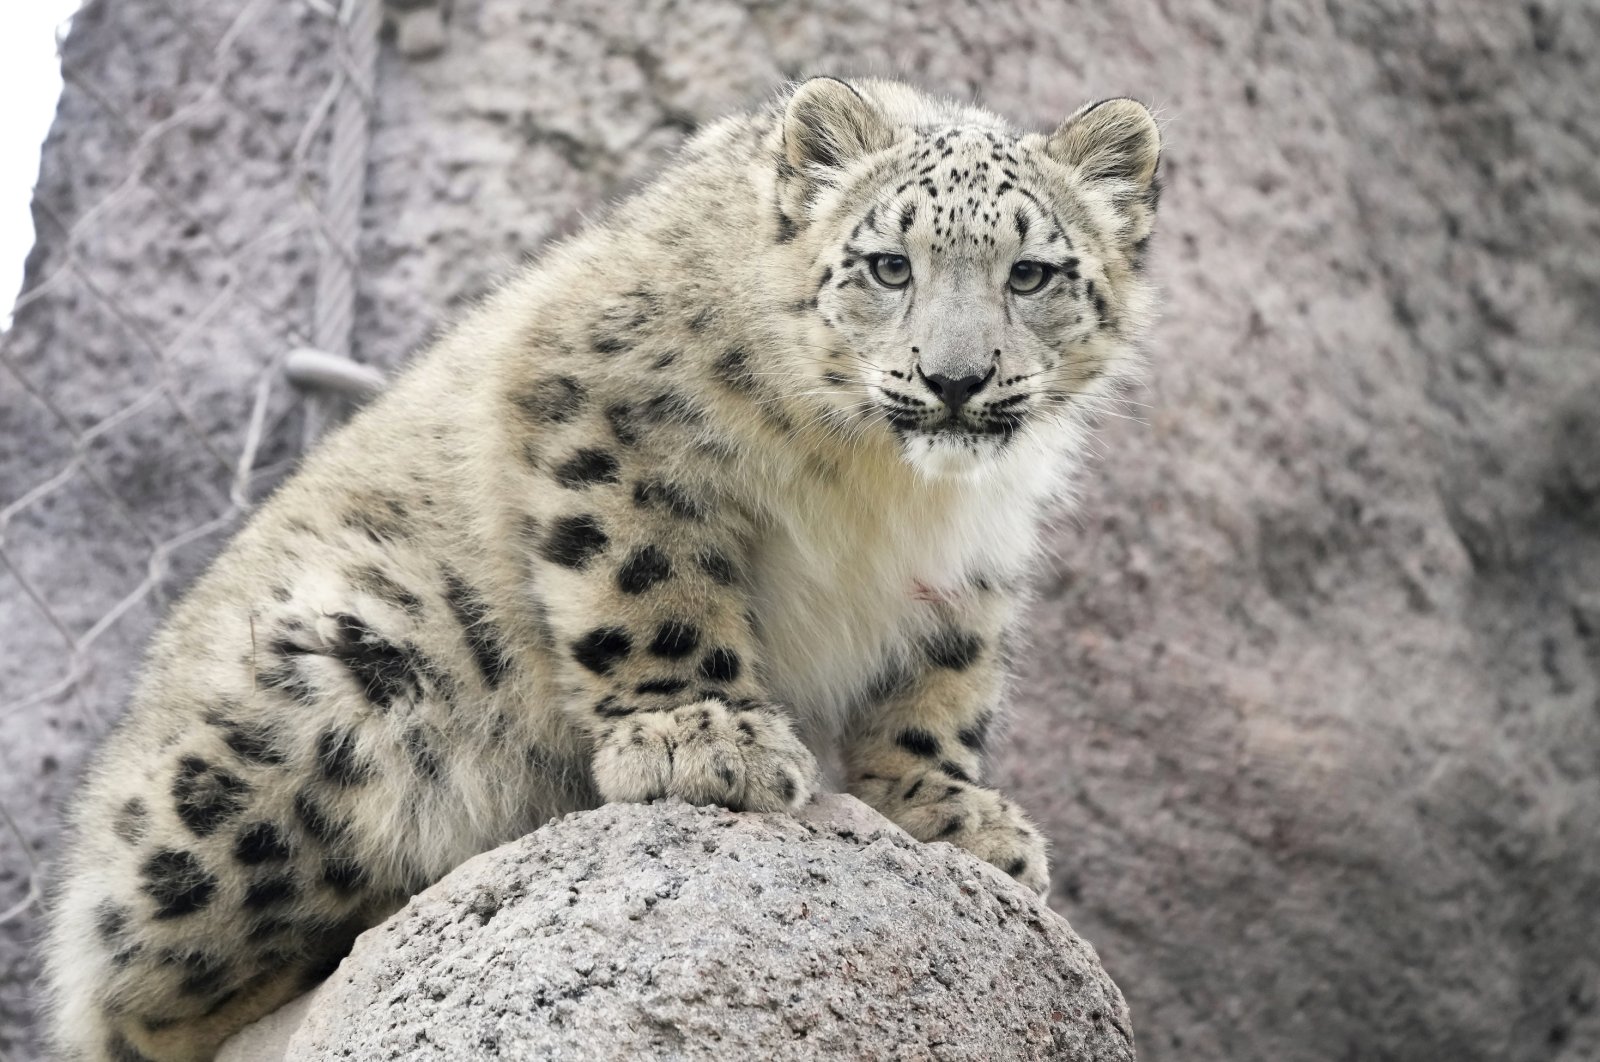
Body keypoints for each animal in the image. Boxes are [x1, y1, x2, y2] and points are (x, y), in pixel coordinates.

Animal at [37, 76, 1164, 1062]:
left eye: (1032, 273)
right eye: (889, 266)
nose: (956, 380)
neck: (889, 487)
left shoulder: (974, 563)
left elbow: (943, 684)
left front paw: (948, 808)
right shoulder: (609, 422)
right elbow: (651, 586)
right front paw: (701, 740)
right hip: (340, 681)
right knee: (137, 998)